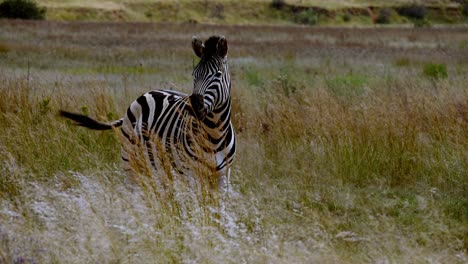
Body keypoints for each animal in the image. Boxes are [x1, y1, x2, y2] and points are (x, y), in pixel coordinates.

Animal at [60, 36, 236, 191]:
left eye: (218, 74)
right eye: (195, 74)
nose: (194, 105)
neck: (214, 135)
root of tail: (147, 93)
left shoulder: (223, 177)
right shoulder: (190, 173)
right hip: (130, 162)